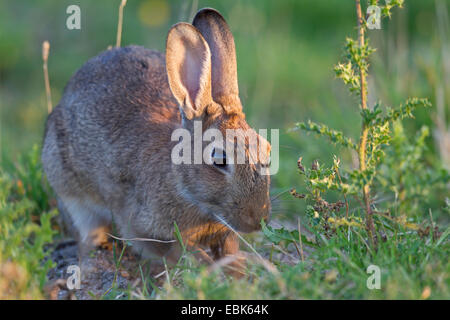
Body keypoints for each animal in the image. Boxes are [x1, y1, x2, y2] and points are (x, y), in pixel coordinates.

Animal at [42, 7, 272, 272]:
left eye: (268, 151)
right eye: (219, 159)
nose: (257, 220)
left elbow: (227, 249)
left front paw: (238, 272)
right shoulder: (143, 227)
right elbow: (181, 251)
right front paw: (210, 270)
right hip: (68, 189)